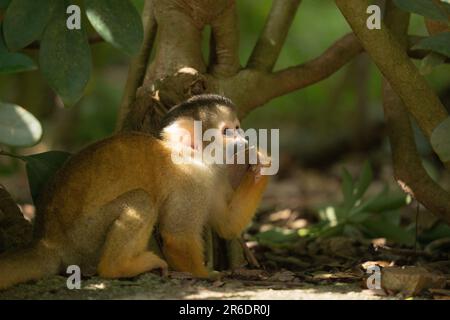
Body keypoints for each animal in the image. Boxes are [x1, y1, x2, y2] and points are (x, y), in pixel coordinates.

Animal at [0, 94, 268, 290]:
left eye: (237, 127)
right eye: (226, 132)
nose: (243, 140)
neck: (195, 157)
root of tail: (47, 241)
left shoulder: (215, 176)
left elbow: (226, 225)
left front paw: (261, 163)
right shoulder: (190, 181)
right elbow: (178, 236)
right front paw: (205, 274)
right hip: (83, 239)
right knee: (141, 200)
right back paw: (117, 267)